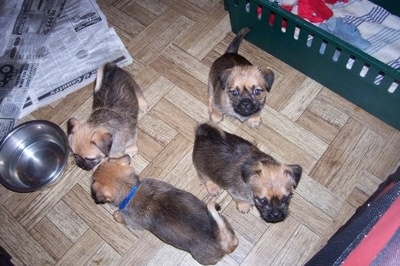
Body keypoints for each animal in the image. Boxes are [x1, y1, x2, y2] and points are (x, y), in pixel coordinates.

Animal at [91, 155, 238, 264]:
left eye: (93, 180)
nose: (93, 169)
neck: (131, 189)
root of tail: (221, 241)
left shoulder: (131, 221)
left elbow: (121, 216)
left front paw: (116, 214)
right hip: (223, 222)